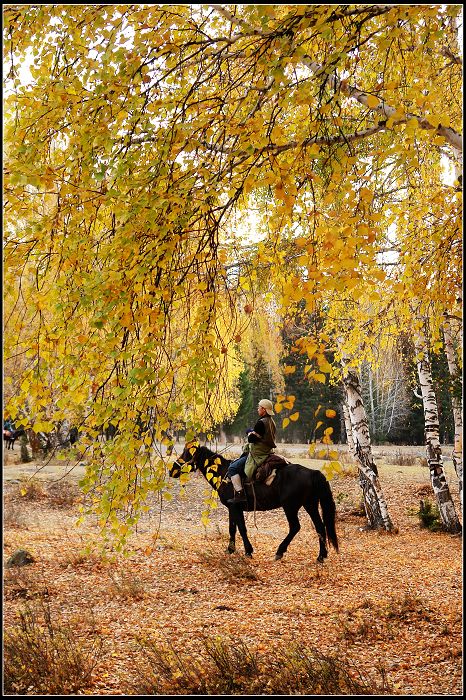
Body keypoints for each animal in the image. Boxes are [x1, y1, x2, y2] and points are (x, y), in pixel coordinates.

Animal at [171, 442, 338, 564]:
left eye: (187, 453)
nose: (172, 470)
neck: (223, 473)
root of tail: (312, 472)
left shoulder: (235, 507)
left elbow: (241, 529)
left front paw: (248, 551)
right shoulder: (232, 508)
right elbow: (233, 529)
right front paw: (230, 549)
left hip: (290, 507)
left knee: (295, 527)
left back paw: (280, 551)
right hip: (310, 505)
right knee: (320, 527)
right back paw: (321, 556)